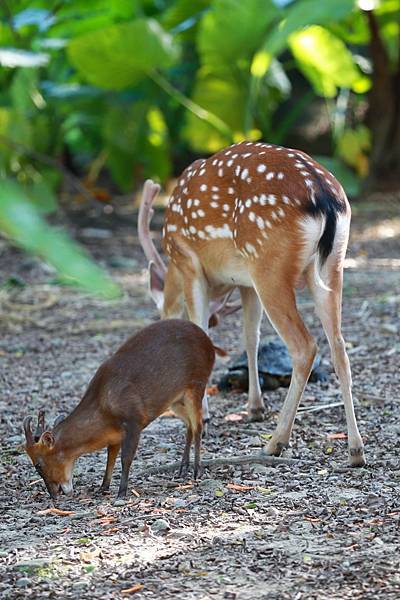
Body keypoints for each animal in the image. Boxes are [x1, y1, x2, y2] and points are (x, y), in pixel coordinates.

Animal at [23, 322, 220, 500]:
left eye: (38, 465)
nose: (54, 494)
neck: (103, 407)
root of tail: (209, 342)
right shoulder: (115, 434)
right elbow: (110, 459)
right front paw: (103, 487)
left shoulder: (134, 419)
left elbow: (126, 458)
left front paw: (121, 492)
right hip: (175, 401)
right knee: (189, 425)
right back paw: (182, 469)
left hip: (196, 384)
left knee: (198, 426)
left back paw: (197, 471)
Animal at [139, 142, 368, 468]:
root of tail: (324, 196)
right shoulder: (245, 283)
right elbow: (251, 336)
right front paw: (255, 408)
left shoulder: (189, 262)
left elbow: (201, 331)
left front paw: (203, 415)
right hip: (332, 266)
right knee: (339, 347)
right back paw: (355, 450)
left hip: (269, 266)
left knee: (305, 346)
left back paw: (275, 443)